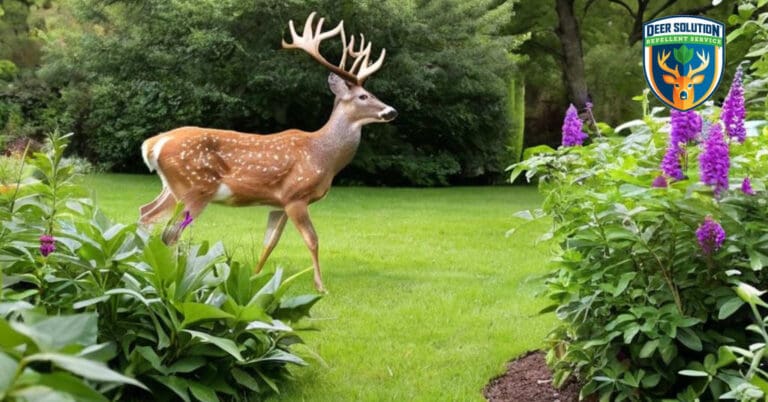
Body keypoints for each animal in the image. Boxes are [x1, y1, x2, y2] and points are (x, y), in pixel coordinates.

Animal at [138, 12, 397, 292]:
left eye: (371, 93)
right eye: (363, 96)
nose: (391, 111)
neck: (324, 156)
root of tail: (153, 144)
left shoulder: (279, 202)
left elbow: (270, 243)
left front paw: (254, 277)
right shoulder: (296, 195)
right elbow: (313, 240)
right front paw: (320, 286)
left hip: (172, 187)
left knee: (146, 214)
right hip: (195, 187)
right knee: (170, 232)